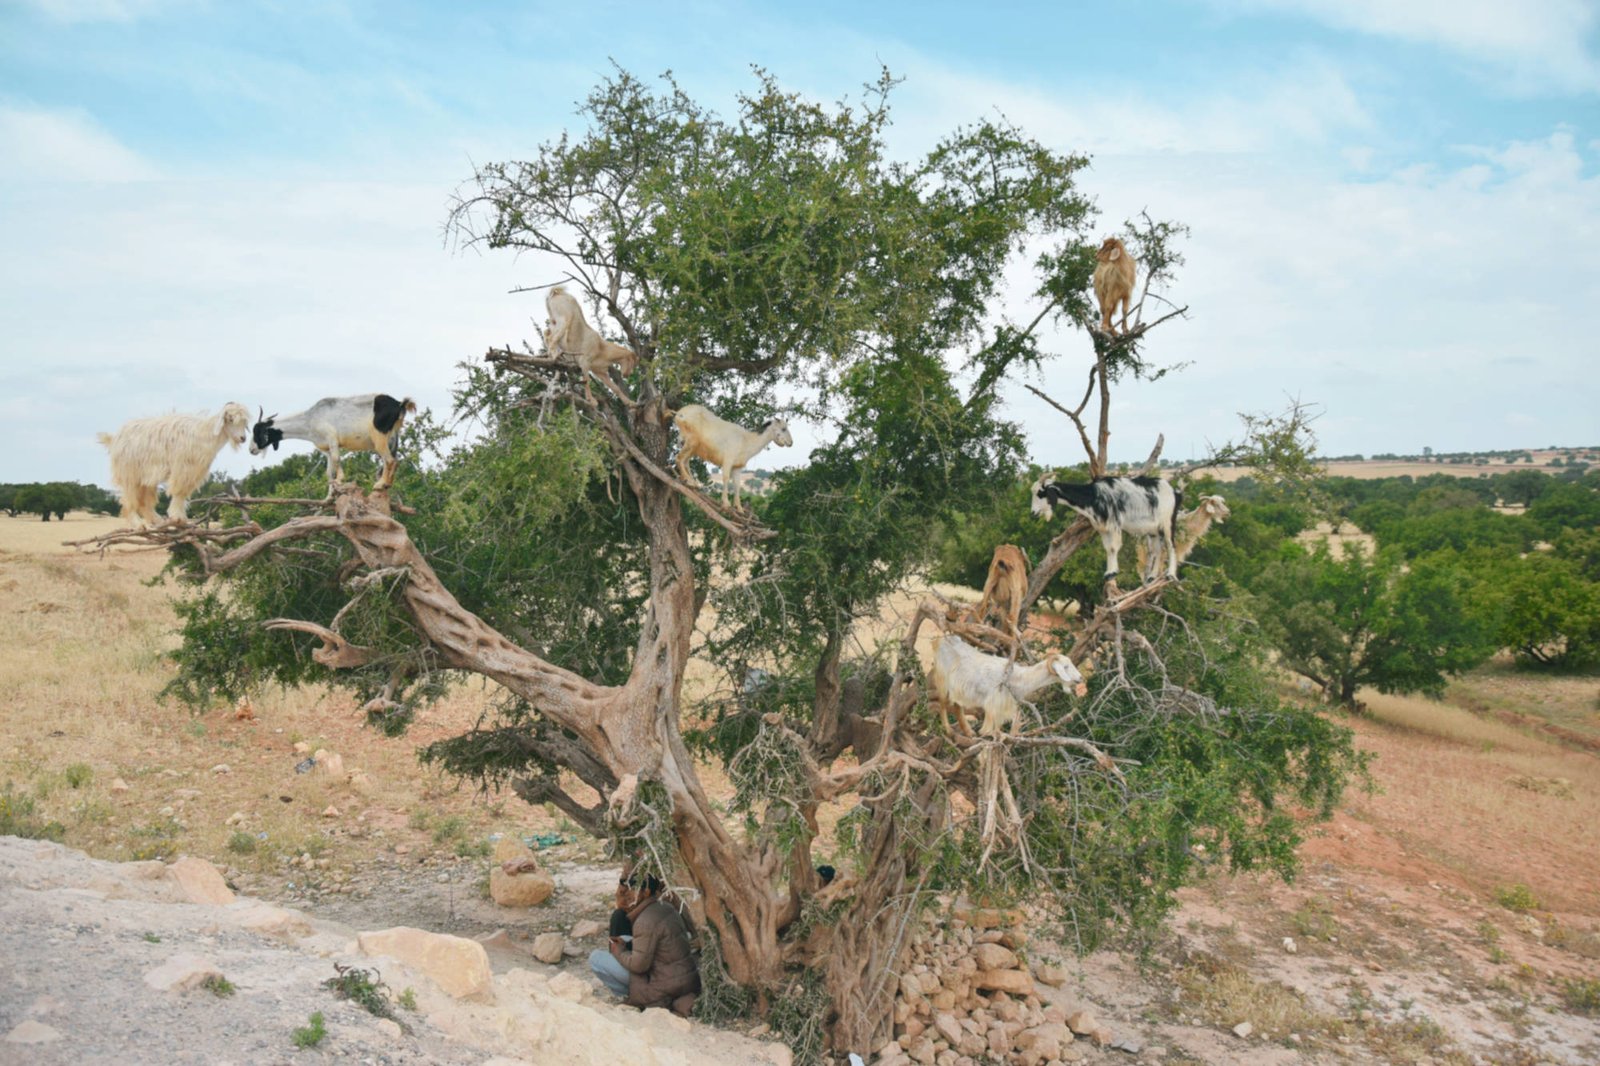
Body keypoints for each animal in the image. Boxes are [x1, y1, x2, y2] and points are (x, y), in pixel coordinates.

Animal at [97, 402, 251, 526]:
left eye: (244, 422)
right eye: (230, 419)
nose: (242, 438)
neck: (204, 434)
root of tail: (114, 439)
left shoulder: (193, 471)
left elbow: (183, 493)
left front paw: (181, 518)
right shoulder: (183, 468)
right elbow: (178, 491)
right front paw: (177, 517)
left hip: (146, 477)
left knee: (144, 501)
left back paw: (157, 520)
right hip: (130, 473)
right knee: (129, 499)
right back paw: (138, 524)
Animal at [250, 394, 415, 492]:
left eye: (257, 432)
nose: (251, 450)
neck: (310, 419)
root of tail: (400, 404)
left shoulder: (332, 439)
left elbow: (336, 460)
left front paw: (340, 480)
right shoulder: (326, 449)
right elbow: (329, 471)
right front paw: (329, 495)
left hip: (379, 437)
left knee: (389, 460)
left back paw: (381, 484)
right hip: (393, 438)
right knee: (395, 460)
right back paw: (388, 484)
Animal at [929, 635, 1086, 738]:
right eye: (1065, 667)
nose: (1080, 678)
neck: (1017, 677)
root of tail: (941, 640)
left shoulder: (1003, 706)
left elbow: (999, 726)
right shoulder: (993, 703)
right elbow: (989, 728)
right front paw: (986, 734)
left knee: (957, 706)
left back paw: (968, 732)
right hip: (942, 680)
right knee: (943, 704)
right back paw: (949, 730)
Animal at [1032, 474, 1182, 590]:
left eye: (1040, 493)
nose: (1033, 513)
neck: (1093, 495)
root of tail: (1174, 492)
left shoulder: (1114, 524)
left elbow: (1114, 547)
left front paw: (1112, 572)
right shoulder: (1102, 528)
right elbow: (1108, 549)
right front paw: (1108, 573)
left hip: (1168, 523)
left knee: (1171, 546)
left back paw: (1171, 575)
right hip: (1154, 530)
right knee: (1158, 550)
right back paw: (1152, 576)